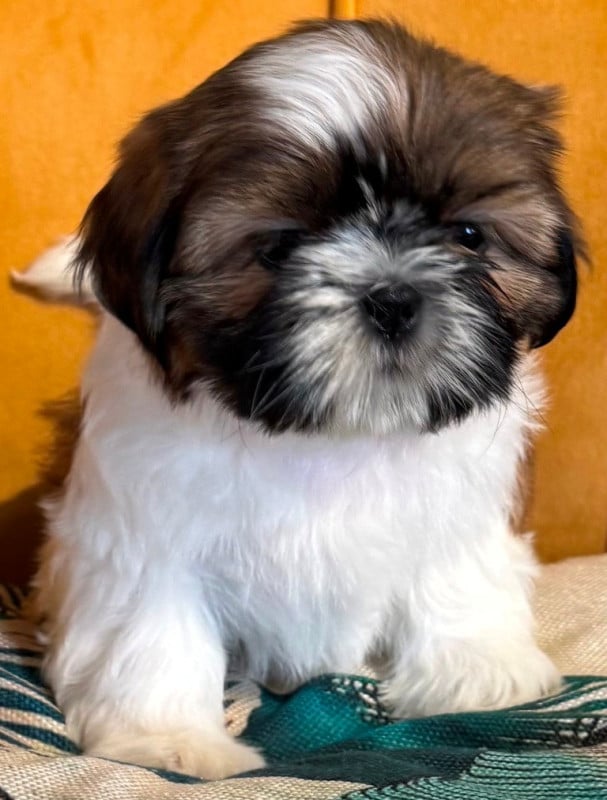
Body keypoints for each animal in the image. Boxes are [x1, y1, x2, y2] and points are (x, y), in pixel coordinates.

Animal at [29, 19, 581, 779]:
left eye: (467, 236)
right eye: (279, 247)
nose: (392, 296)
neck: (328, 437)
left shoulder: (465, 504)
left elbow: (455, 571)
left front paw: (475, 675)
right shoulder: (143, 528)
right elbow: (154, 624)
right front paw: (166, 737)